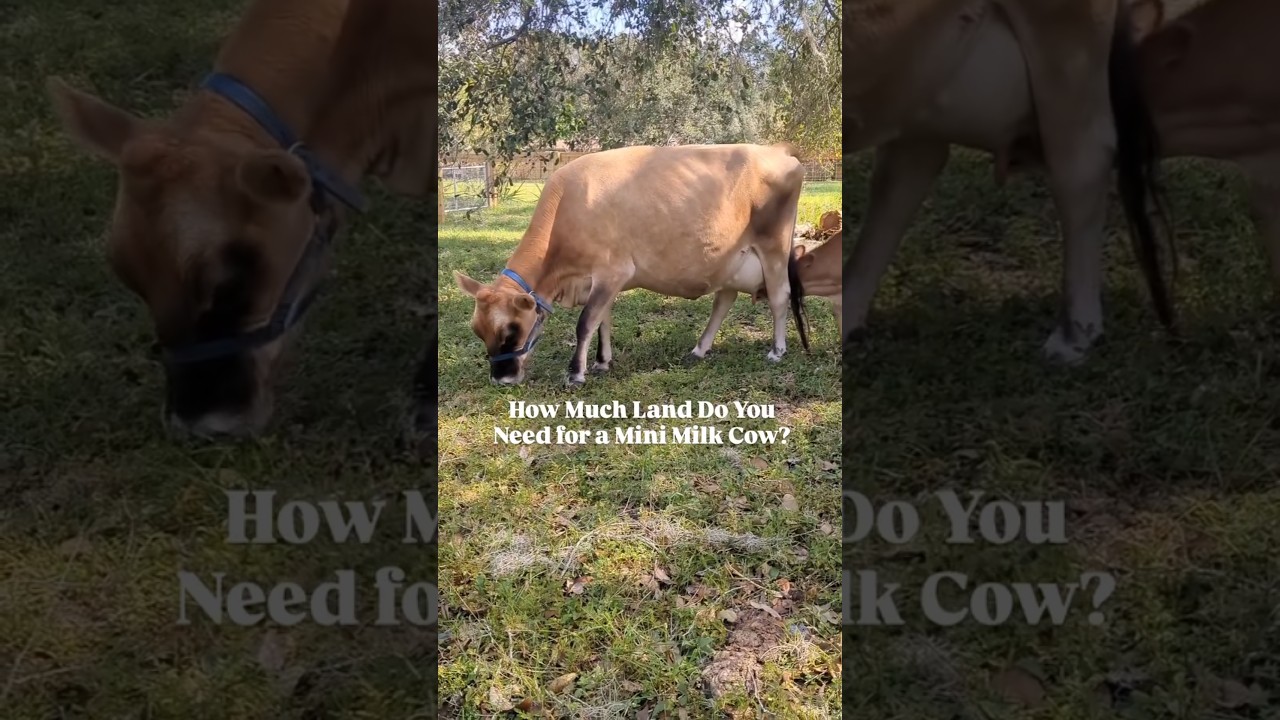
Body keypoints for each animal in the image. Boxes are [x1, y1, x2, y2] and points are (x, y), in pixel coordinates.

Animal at [453, 143, 811, 387]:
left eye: (511, 329)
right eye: (477, 330)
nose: (501, 379)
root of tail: (779, 152)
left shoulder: (612, 272)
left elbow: (585, 323)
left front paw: (576, 373)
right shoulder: (600, 282)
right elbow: (603, 321)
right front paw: (601, 362)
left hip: (773, 247)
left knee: (779, 296)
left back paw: (777, 350)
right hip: (730, 261)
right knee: (724, 299)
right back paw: (699, 349)